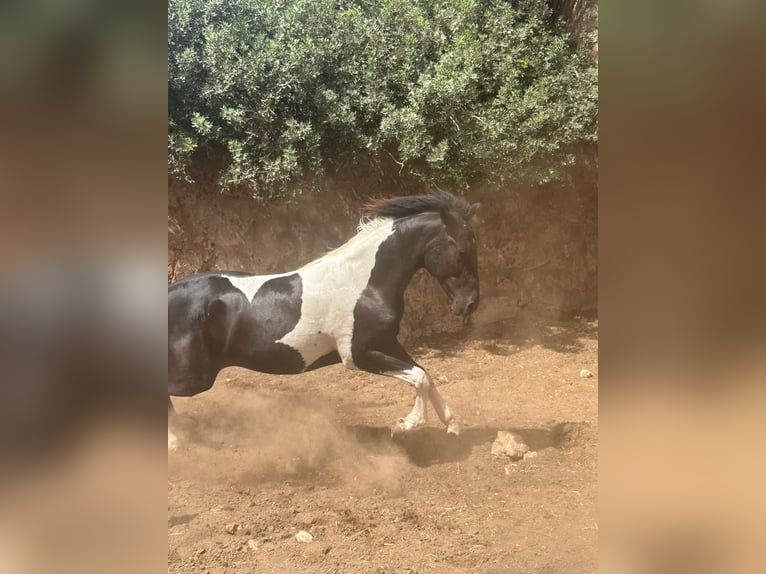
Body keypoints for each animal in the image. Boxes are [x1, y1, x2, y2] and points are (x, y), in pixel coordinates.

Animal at [168, 191, 480, 450]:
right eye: (463, 251)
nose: (470, 304)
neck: (364, 283)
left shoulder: (385, 342)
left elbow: (425, 374)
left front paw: (453, 425)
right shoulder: (357, 355)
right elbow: (419, 378)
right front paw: (404, 426)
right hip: (195, 378)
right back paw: (174, 442)